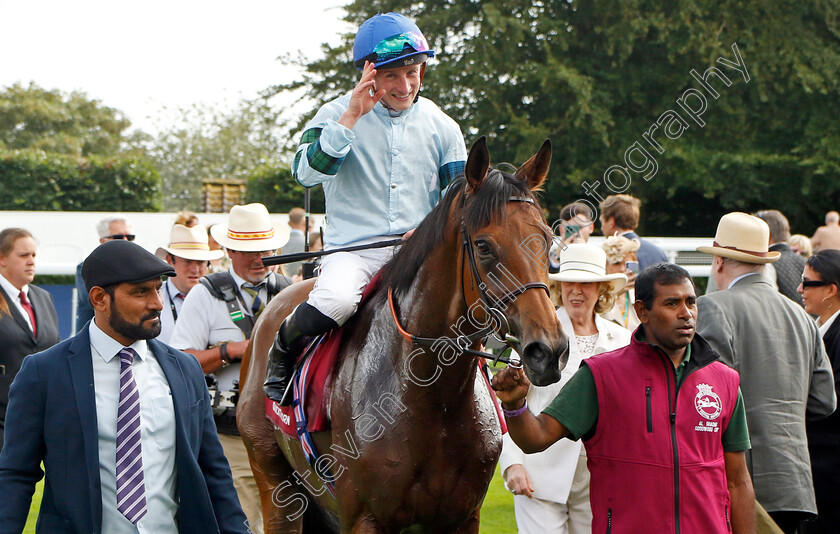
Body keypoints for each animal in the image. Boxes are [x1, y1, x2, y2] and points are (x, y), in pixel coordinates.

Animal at [238, 139, 572, 534]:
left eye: (547, 239)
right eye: (484, 246)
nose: (548, 350)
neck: (432, 397)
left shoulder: (462, 517)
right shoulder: (364, 518)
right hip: (275, 482)